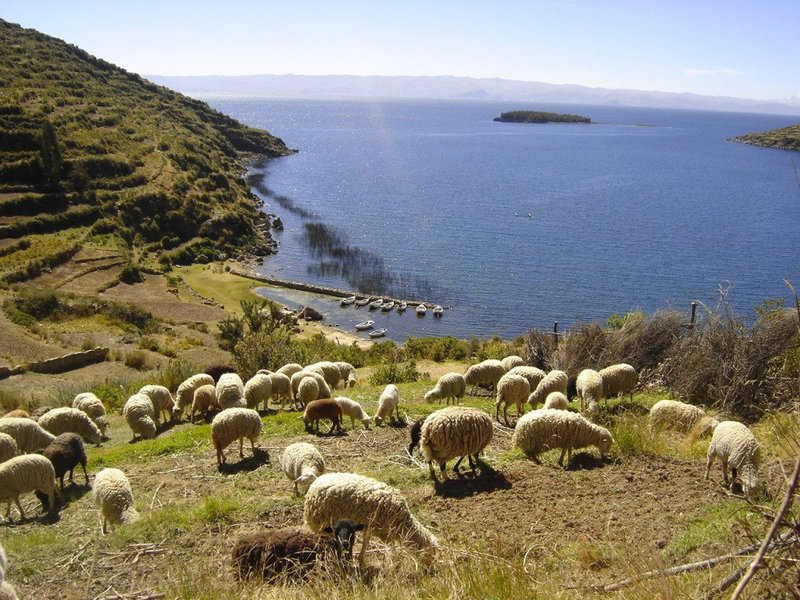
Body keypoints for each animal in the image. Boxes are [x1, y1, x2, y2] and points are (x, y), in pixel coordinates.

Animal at [306, 474, 440, 568]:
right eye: (431, 553)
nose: (430, 570)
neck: (403, 523)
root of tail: (313, 485)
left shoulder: (378, 529)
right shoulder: (375, 526)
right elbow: (374, 543)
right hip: (321, 523)